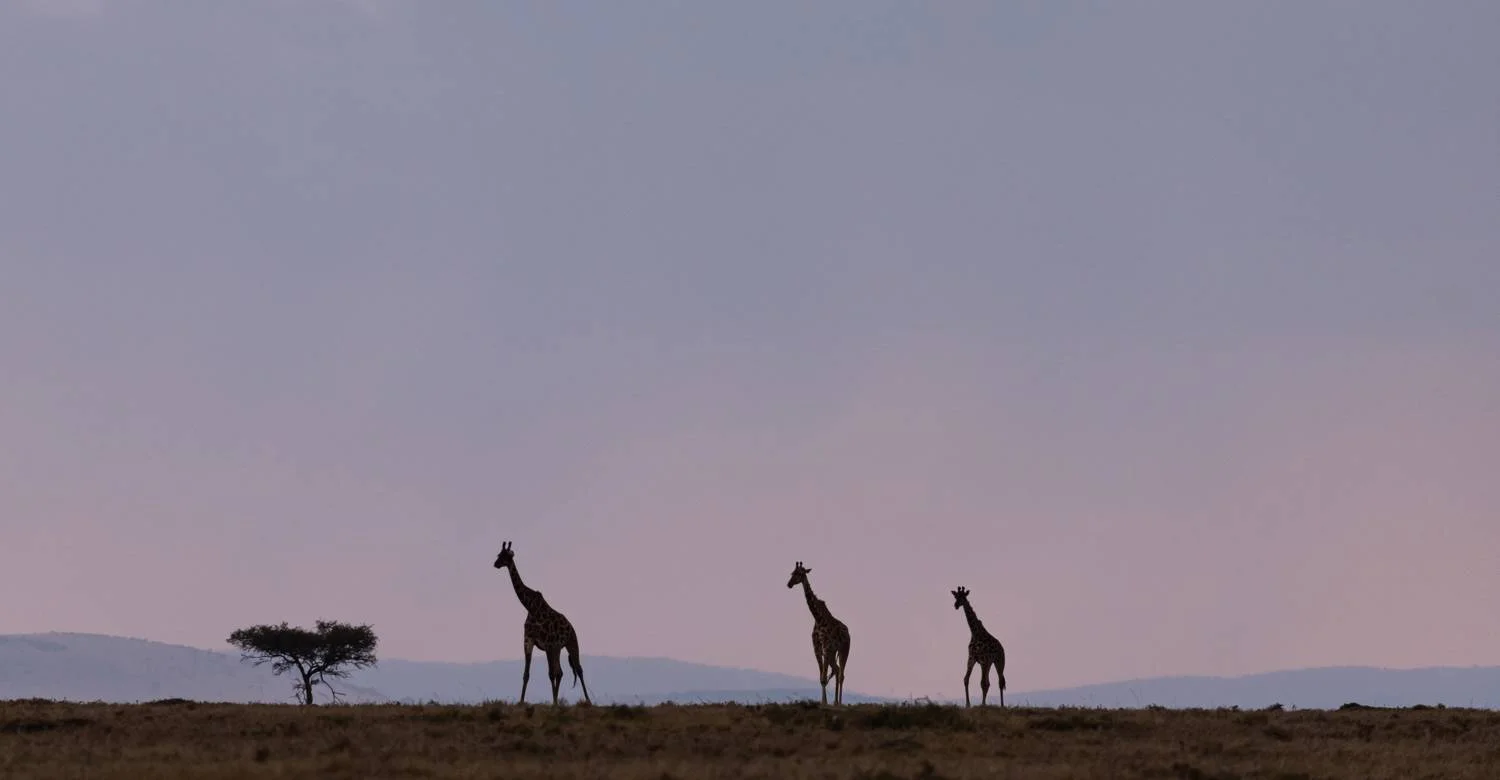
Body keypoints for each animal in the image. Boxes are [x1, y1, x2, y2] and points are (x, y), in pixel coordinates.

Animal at [492, 543, 585, 708]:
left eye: (505, 556)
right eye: (498, 554)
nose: (495, 564)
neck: (529, 606)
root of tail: (571, 627)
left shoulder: (548, 644)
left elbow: (550, 673)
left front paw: (554, 702)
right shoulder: (529, 641)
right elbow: (526, 674)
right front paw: (521, 701)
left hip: (571, 643)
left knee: (578, 669)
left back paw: (589, 701)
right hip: (558, 648)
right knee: (561, 672)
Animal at [780, 561, 852, 708]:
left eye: (800, 573)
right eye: (792, 573)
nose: (789, 584)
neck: (818, 619)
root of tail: (848, 633)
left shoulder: (826, 647)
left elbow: (824, 677)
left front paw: (824, 703)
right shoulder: (817, 648)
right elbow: (821, 678)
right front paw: (823, 702)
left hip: (844, 650)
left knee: (841, 674)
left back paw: (839, 703)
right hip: (833, 653)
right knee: (837, 670)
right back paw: (835, 702)